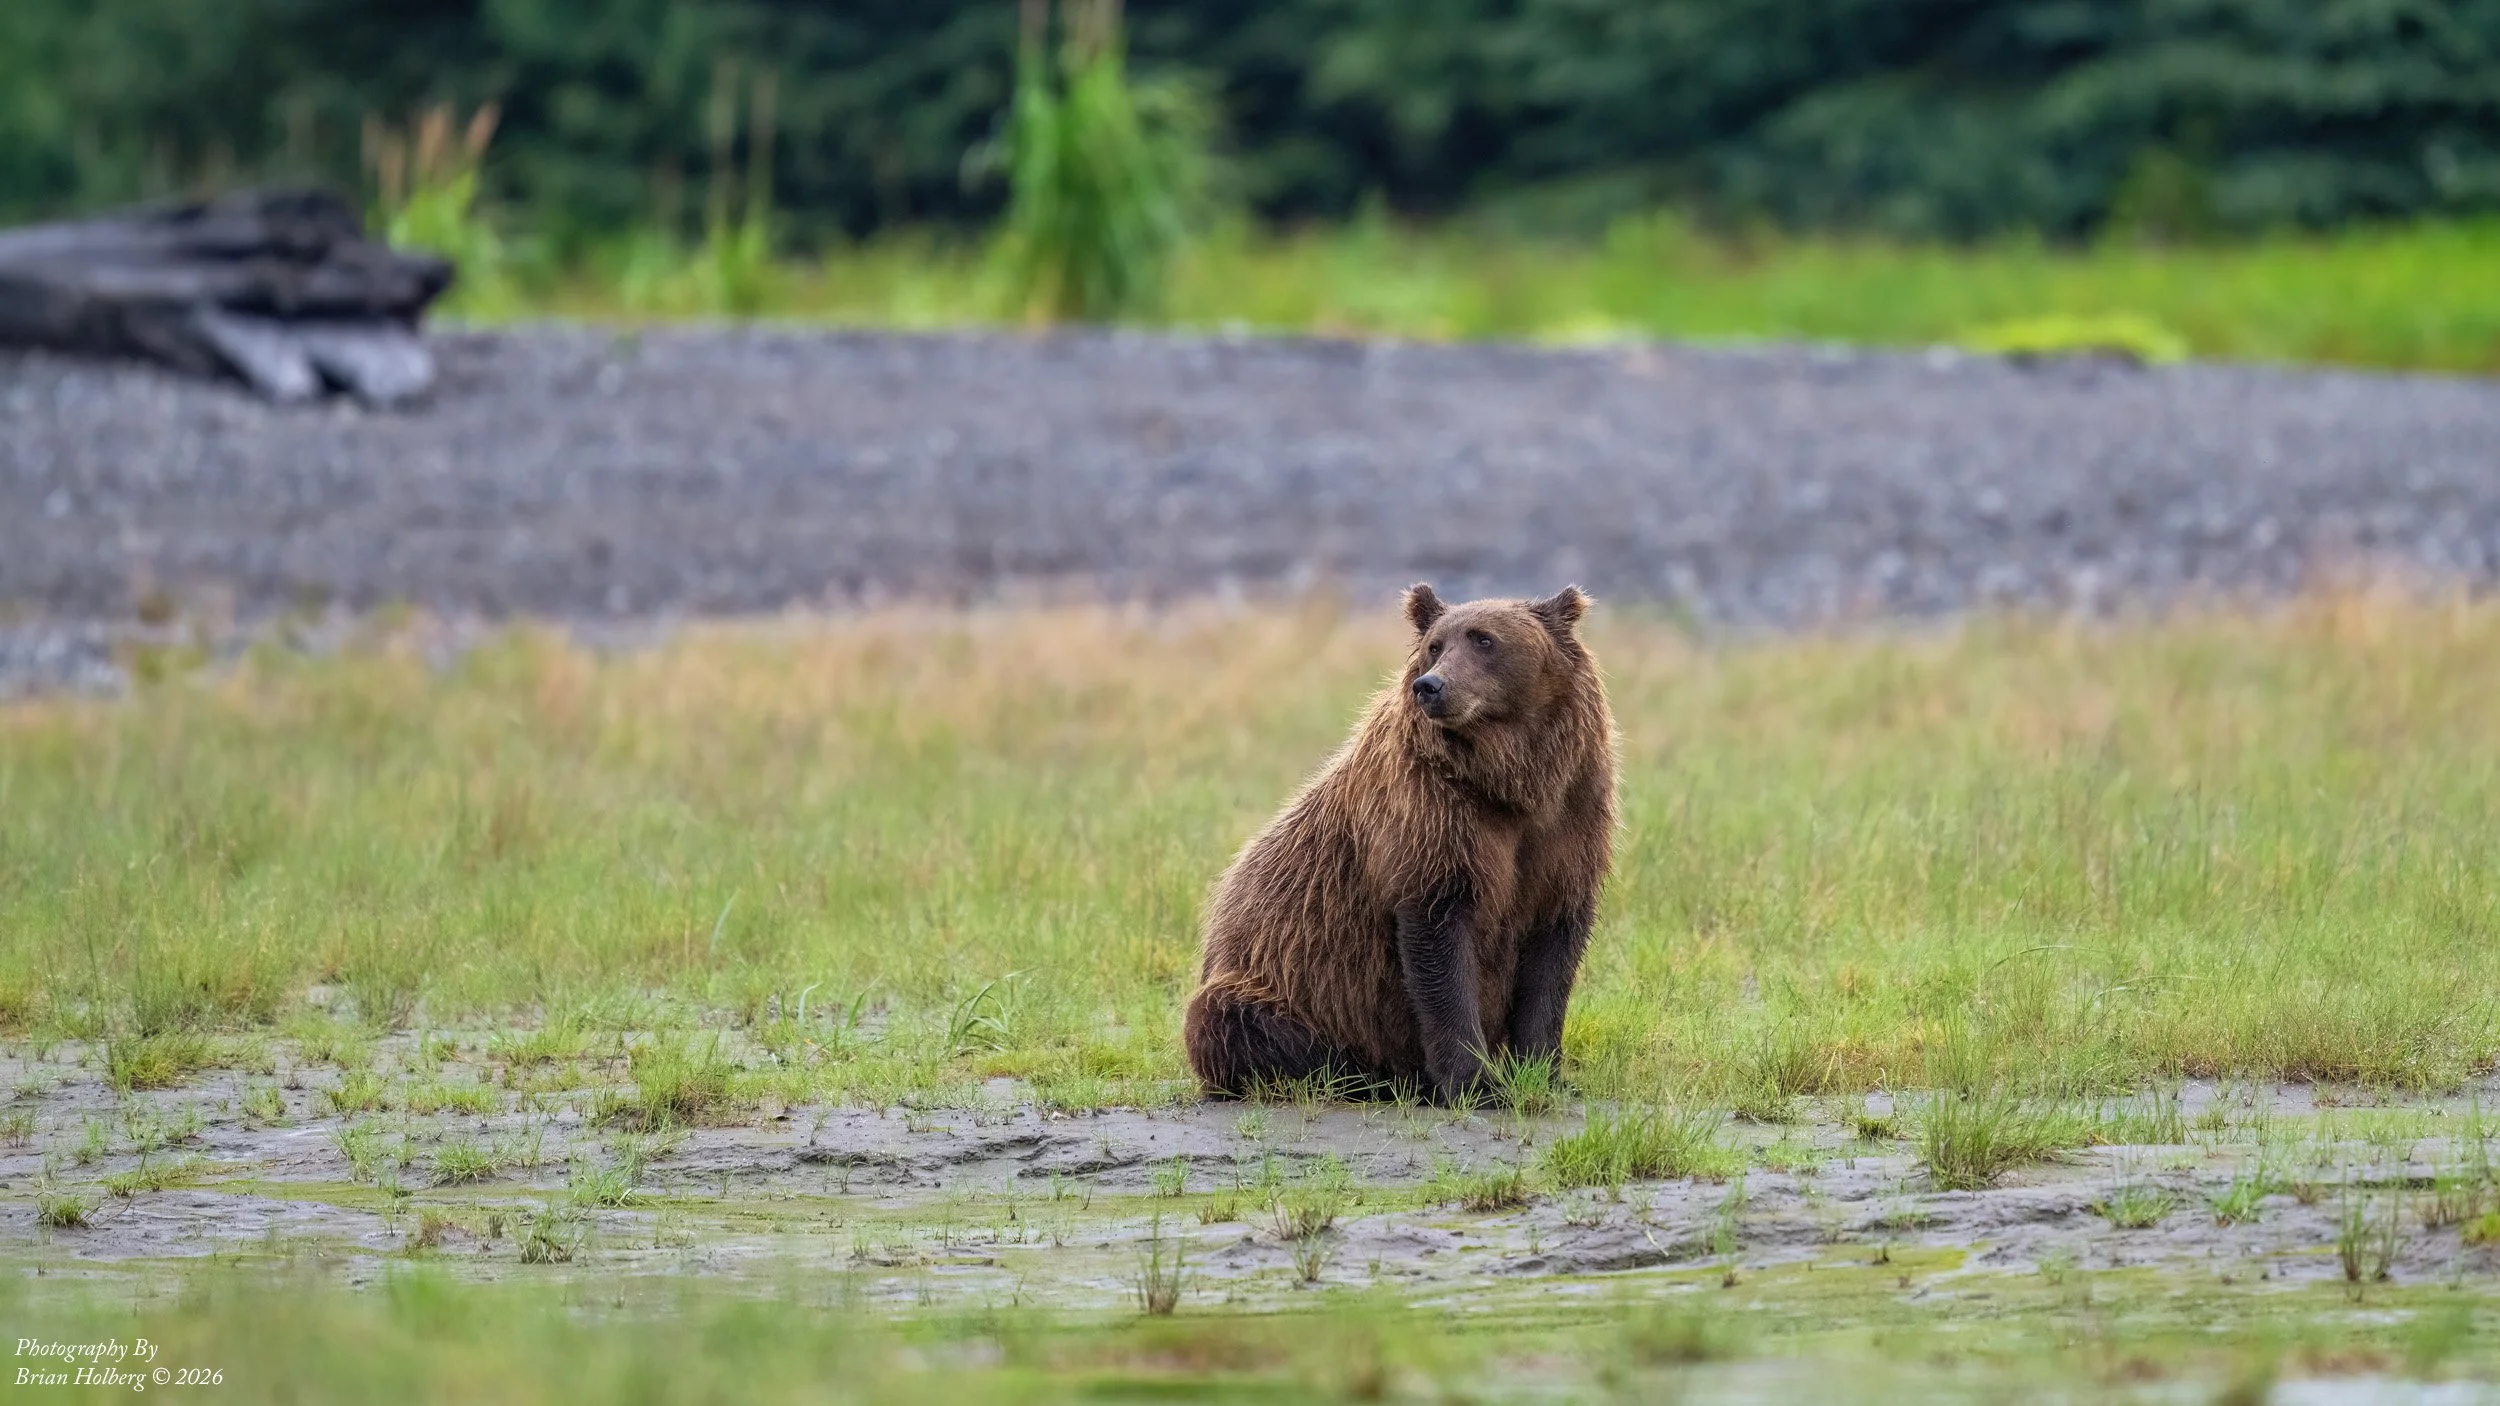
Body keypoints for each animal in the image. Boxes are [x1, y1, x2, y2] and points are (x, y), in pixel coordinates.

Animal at [1182, 583, 1617, 1102]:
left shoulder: (1568, 821)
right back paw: (1377, 1077)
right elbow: (1439, 943)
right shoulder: (1431, 817)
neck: (1510, 783)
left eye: (1484, 639)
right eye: (1435, 645)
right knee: (1231, 1022)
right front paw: (1475, 1082)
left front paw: (1544, 1072)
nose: (1430, 685)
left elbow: (1552, 954)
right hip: (1280, 986)